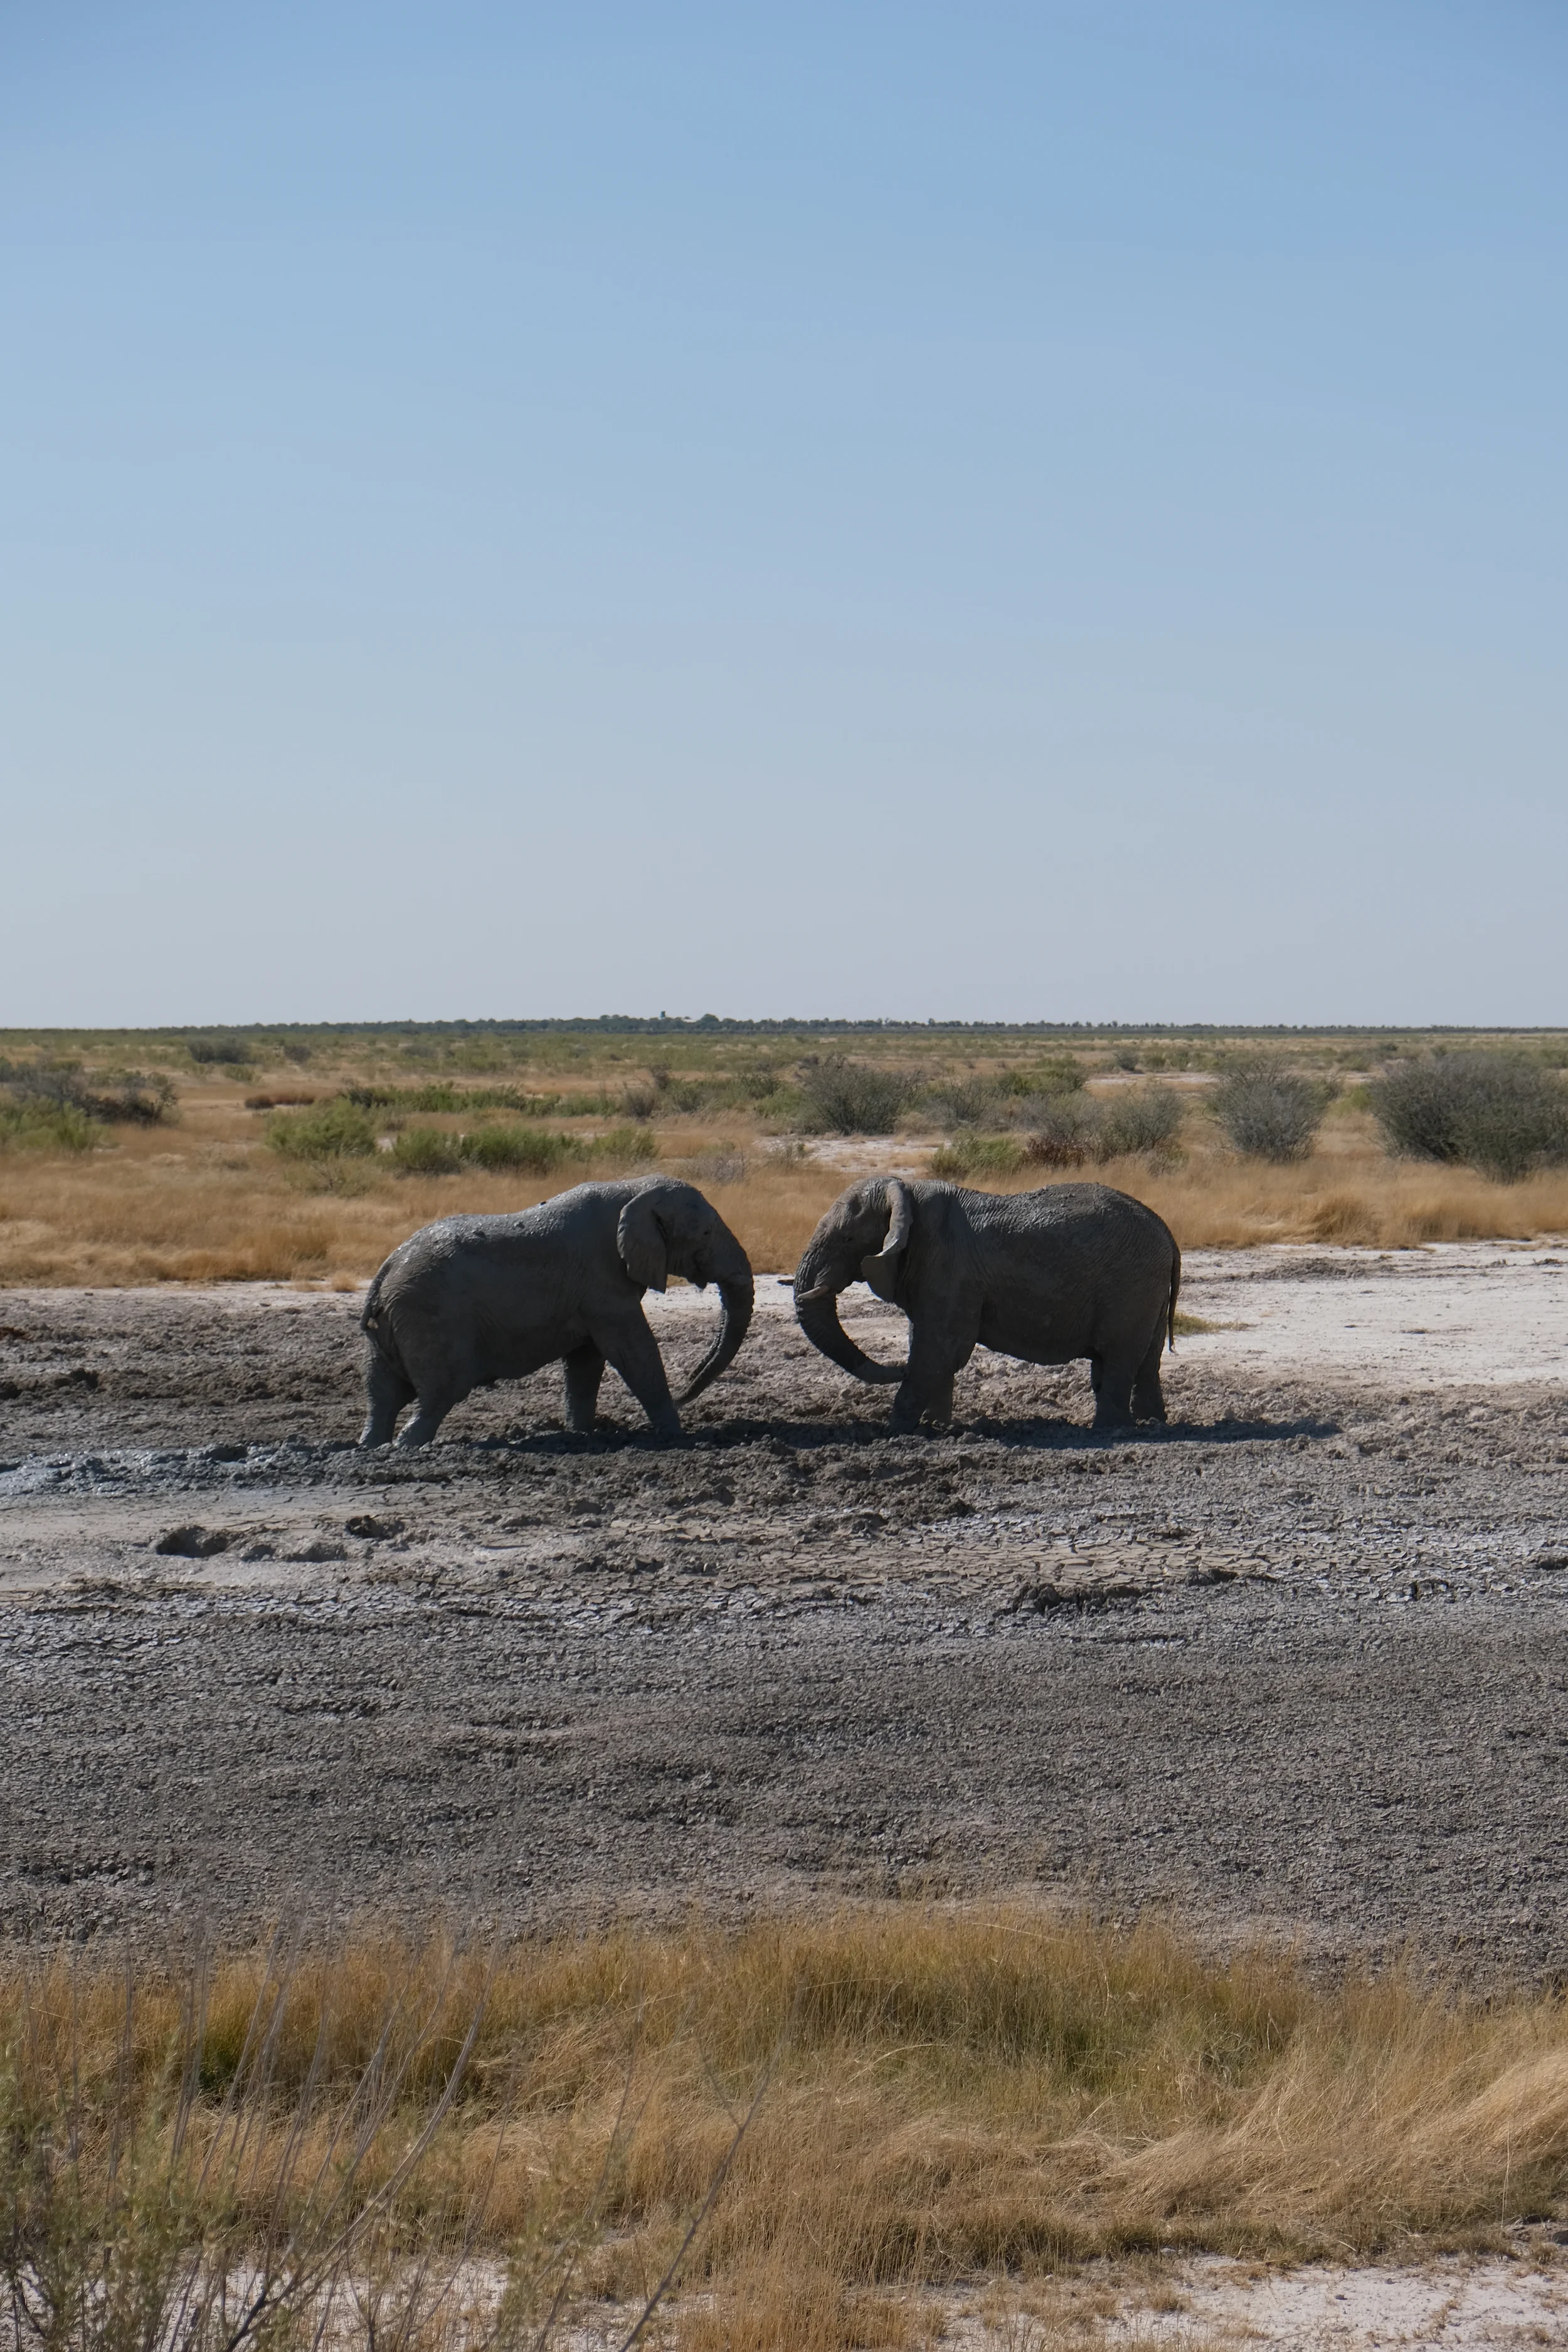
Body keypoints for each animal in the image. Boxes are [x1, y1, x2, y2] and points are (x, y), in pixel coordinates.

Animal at [358, 1176, 754, 1447]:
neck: (632, 1188)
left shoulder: (590, 1295)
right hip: (429, 1315)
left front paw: (582, 1434)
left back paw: (372, 1446)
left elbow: (586, 1362)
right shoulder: (603, 1285)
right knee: (441, 1391)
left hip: (399, 1319)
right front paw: (676, 1435)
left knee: (383, 1392)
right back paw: (407, 1447)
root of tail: (386, 1271)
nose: (685, 1396)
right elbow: (633, 1353)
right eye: (706, 1234)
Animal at [793, 1178, 1180, 1433]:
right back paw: (1151, 1423)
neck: (906, 1191)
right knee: (1146, 1360)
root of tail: (1167, 1231)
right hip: (1147, 1287)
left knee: (1117, 1357)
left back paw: (1110, 1430)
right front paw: (938, 1427)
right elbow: (931, 1347)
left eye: (847, 1239)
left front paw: (896, 1431)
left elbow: (941, 1351)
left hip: (1131, 1284)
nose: (897, 1369)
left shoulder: (949, 1266)